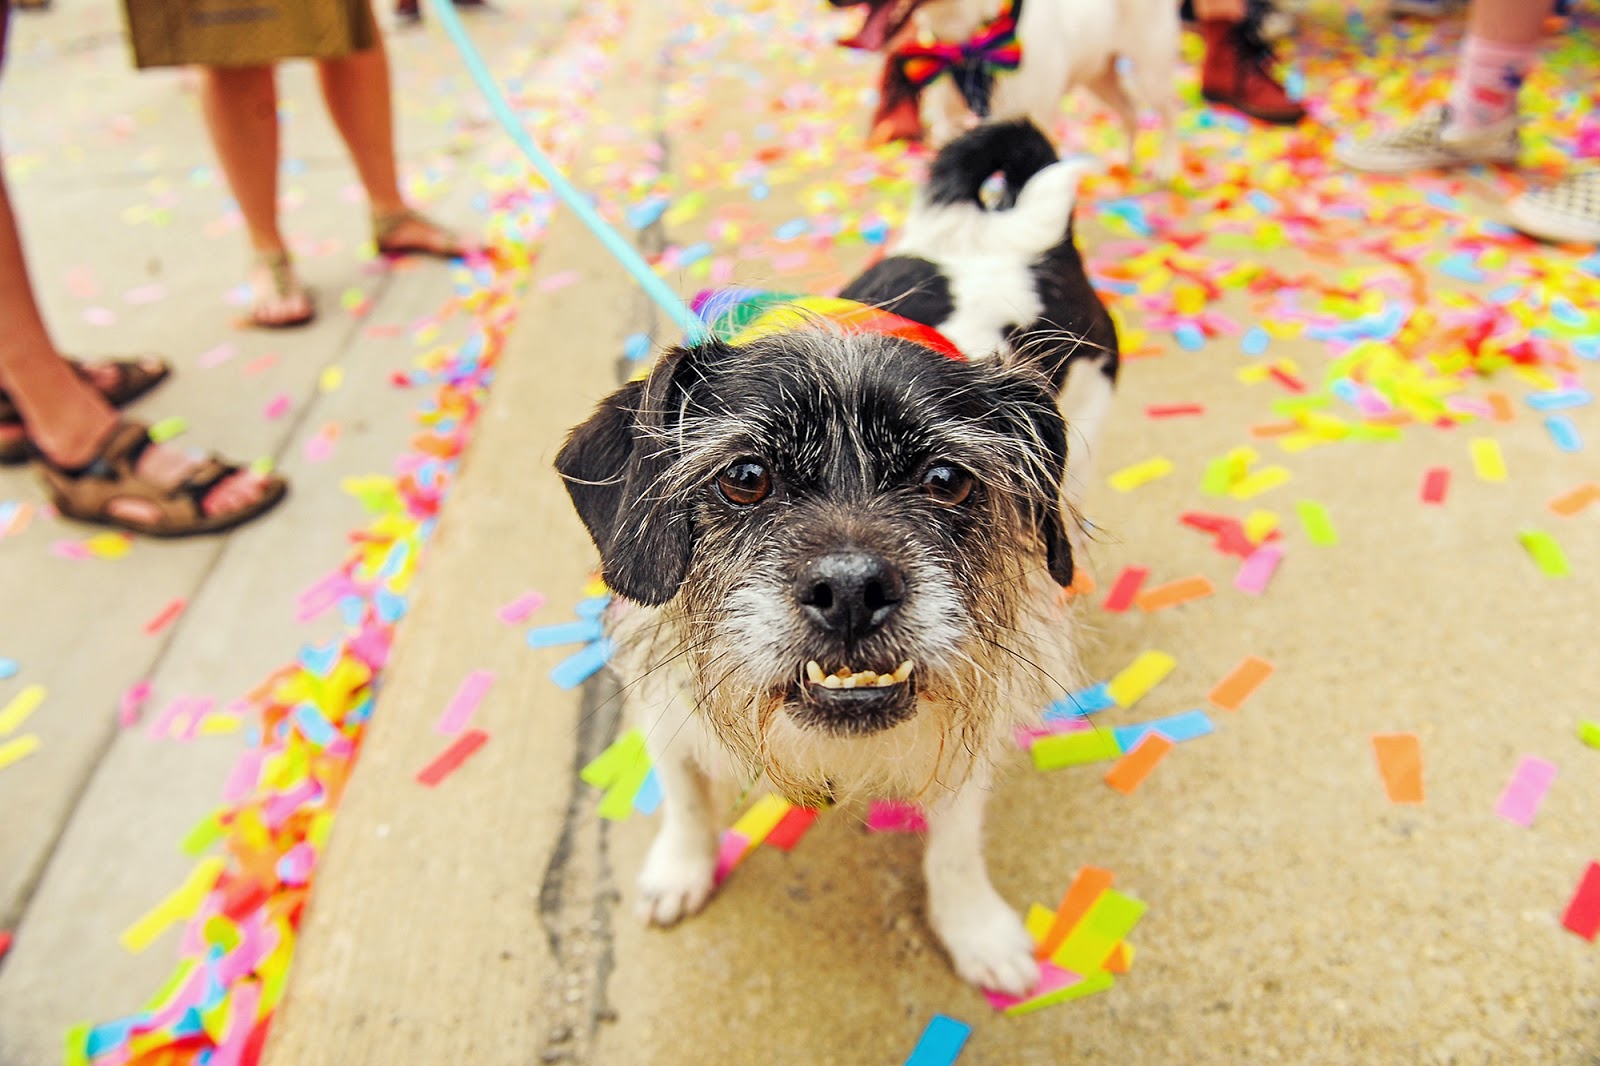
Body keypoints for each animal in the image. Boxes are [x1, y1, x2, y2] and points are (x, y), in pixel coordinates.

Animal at [556, 120, 1120, 992]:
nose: (853, 590)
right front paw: (681, 869)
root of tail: (1023, 236)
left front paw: (976, 930)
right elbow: (684, 796)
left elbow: (956, 847)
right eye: (745, 477)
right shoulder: (663, 698)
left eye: (946, 479)